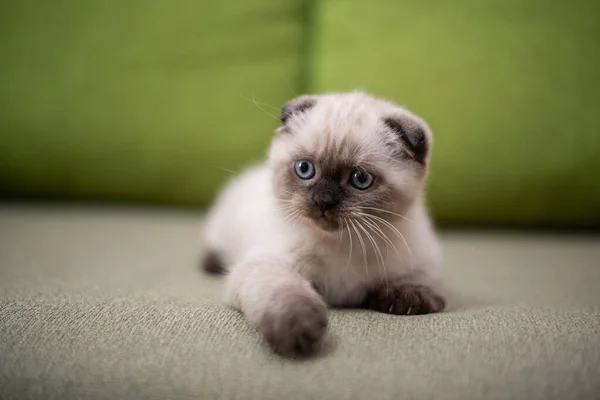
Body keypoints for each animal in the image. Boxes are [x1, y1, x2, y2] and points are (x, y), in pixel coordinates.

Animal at [204, 91, 442, 356]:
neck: (345, 243)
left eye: (360, 179)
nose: (323, 201)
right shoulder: (267, 264)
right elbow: (285, 292)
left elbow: (415, 282)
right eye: (305, 169)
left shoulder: (424, 262)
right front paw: (299, 328)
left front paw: (406, 301)